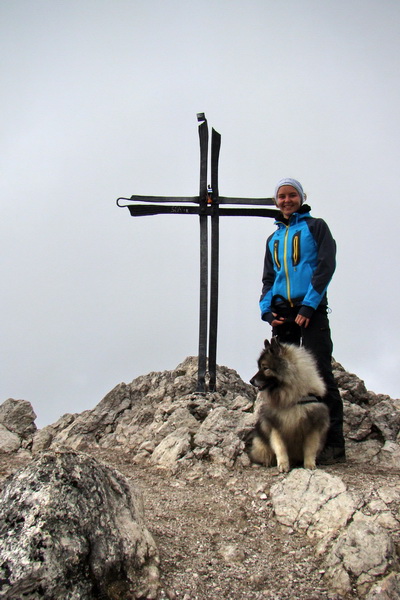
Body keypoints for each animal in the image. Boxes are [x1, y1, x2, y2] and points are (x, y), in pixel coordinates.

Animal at [248, 338, 330, 474]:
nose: (251, 381)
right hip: (260, 444)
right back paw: (264, 463)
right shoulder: (276, 426)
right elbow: (280, 448)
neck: (293, 396)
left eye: (265, 368)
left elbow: (310, 448)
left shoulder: (313, 426)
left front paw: (310, 464)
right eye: (259, 367)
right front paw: (283, 465)